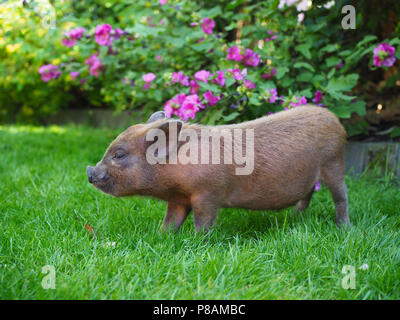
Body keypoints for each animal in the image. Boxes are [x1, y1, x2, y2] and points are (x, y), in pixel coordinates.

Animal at [86, 105, 348, 232]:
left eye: (119, 155)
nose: (90, 172)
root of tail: (335, 119)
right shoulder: (178, 198)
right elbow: (171, 220)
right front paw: (161, 235)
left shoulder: (208, 193)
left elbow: (203, 220)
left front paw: (196, 241)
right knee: (308, 193)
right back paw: (294, 217)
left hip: (334, 163)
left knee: (341, 196)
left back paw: (342, 228)